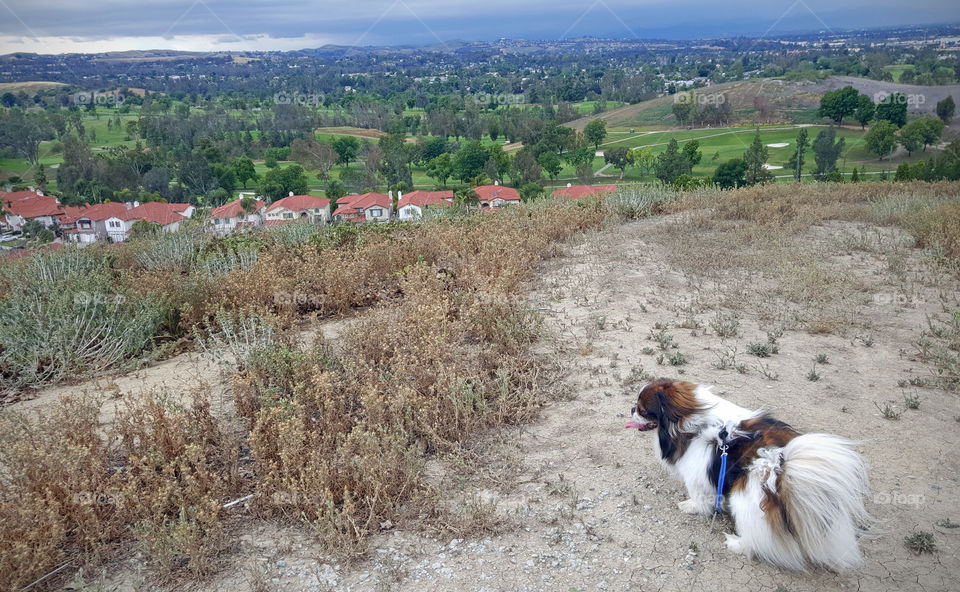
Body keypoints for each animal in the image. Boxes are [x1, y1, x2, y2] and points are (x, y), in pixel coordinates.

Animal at [628, 380, 872, 568]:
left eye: (642, 410)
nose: (631, 409)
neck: (693, 424)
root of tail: (780, 464)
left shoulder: (698, 477)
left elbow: (699, 498)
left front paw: (691, 506)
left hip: (746, 498)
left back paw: (737, 544)